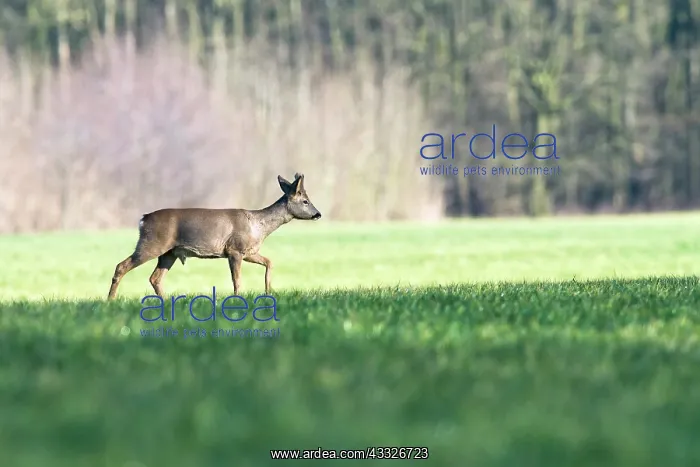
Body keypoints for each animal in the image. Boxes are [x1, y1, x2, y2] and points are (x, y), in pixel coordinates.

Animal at [107, 173, 321, 300]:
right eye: (305, 201)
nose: (318, 214)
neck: (258, 226)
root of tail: (143, 219)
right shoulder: (234, 249)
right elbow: (237, 279)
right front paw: (238, 298)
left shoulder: (249, 251)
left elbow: (269, 262)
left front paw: (268, 290)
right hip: (152, 243)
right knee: (121, 266)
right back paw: (110, 300)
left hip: (169, 253)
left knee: (155, 278)